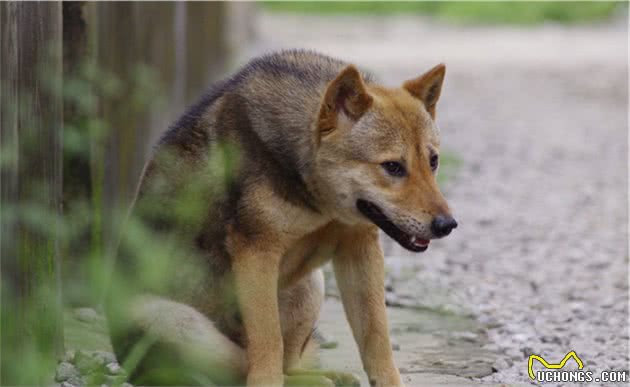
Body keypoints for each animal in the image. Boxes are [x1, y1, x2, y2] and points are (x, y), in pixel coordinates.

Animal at [106, 50, 456, 386]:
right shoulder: (257, 253)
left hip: (310, 285)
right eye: (393, 167)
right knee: (238, 369)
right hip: (171, 320)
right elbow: (267, 341)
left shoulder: (359, 249)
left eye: (433, 161)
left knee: (287, 362)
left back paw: (324, 378)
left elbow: (376, 338)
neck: (319, 201)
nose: (447, 225)